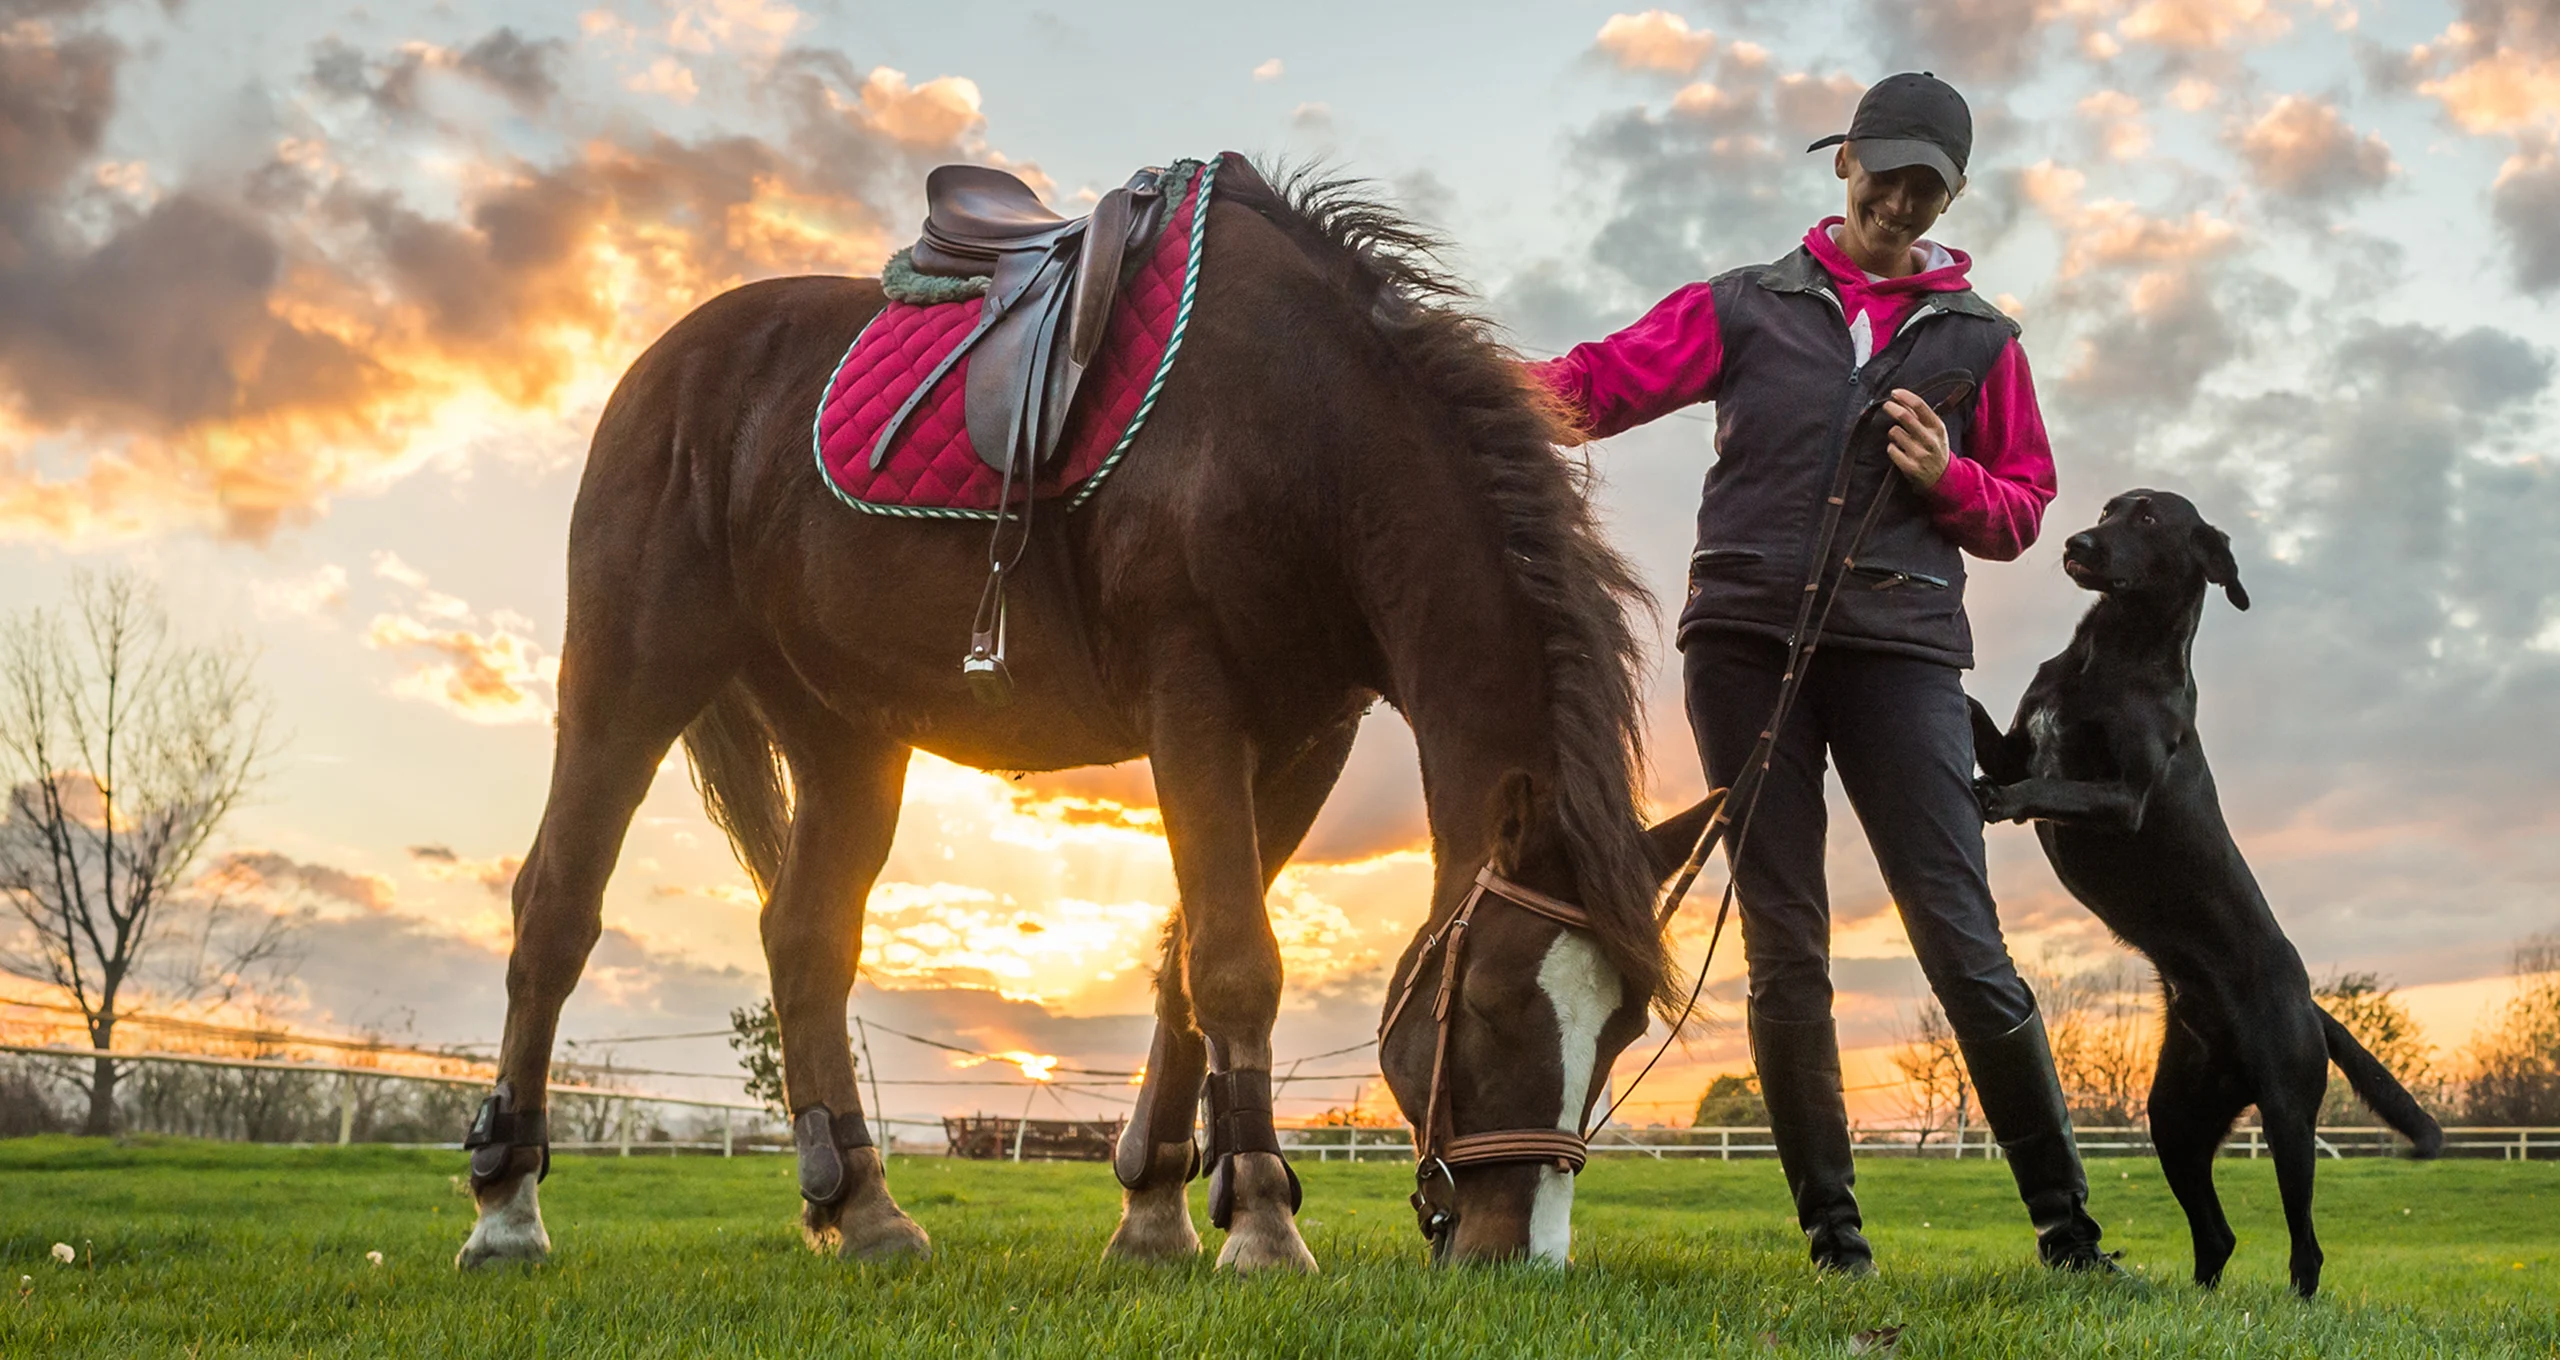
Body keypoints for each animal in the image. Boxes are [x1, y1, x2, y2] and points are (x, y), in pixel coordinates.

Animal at [455, 157, 1709, 1273]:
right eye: (1491, 1003)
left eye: (1622, 1029)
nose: (1520, 1252)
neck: (1307, 427)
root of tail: (671, 364)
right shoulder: (1192, 702)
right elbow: (1235, 960)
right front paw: (1261, 1222)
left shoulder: (1302, 740)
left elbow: (1183, 965)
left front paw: (1157, 1212)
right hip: (628, 677)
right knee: (555, 911)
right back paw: (507, 1211)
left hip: (846, 733)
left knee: (806, 938)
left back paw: (865, 1209)